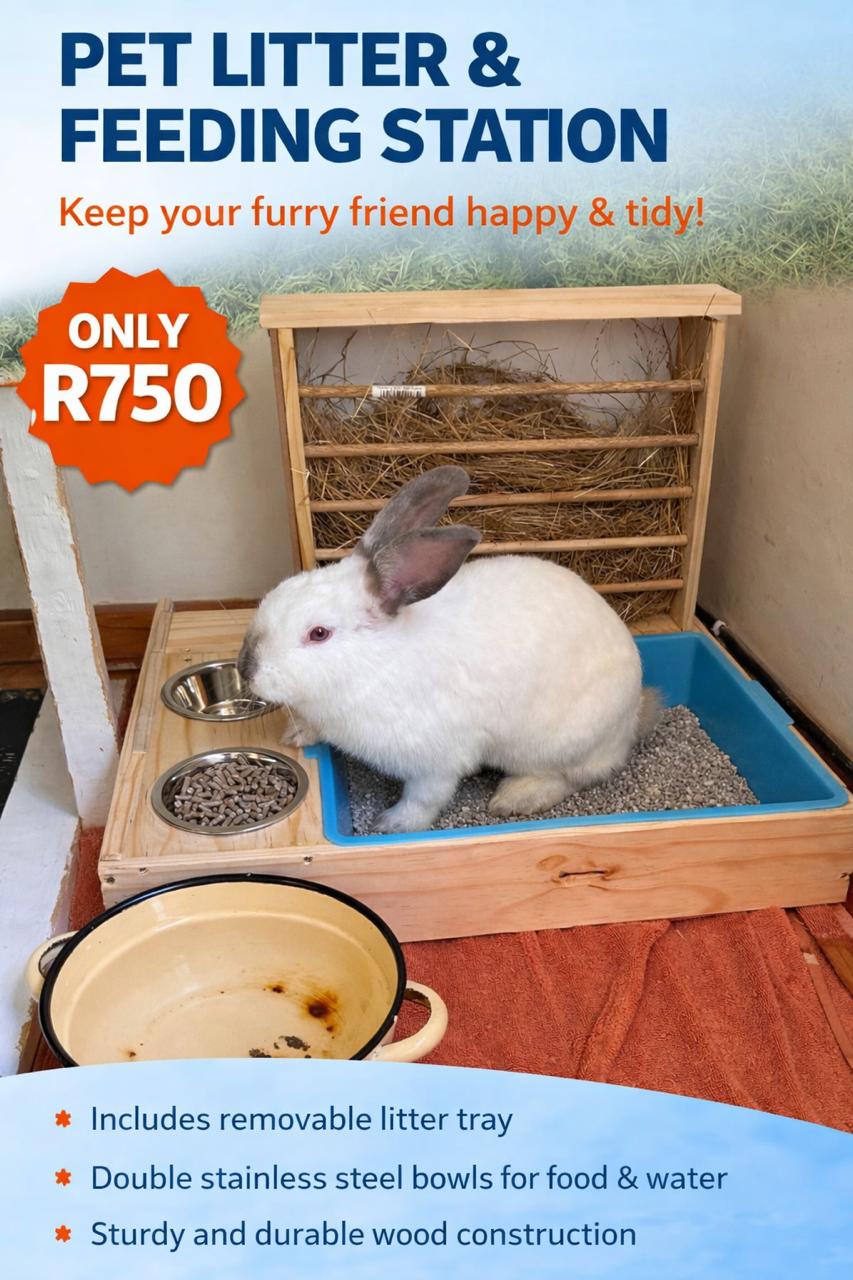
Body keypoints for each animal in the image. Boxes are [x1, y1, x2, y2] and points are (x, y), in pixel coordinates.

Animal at [238, 465, 660, 834]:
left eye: (319, 633)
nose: (246, 668)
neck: (373, 662)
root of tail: (635, 712)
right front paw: (296, 734)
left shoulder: (436, 762)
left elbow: (425, 798)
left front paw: (393, 824)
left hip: (558, 745)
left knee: (569, 776)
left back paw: (513, 798)